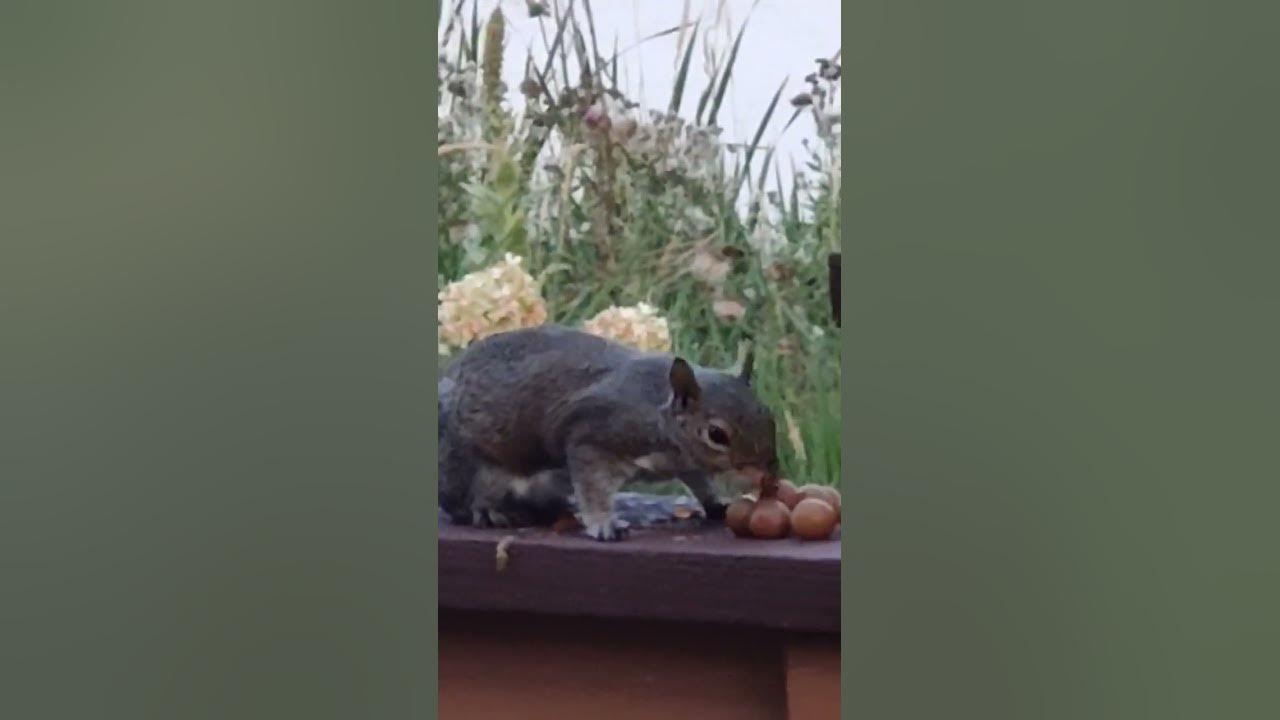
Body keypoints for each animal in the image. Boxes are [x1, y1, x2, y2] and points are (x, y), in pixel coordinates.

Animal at [438, 324, 779, 541]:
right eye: (716, 434)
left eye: (767, 413)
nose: (770, 475)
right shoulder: (592, 436)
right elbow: (593, 486)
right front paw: (604, 524)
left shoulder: (686, 462)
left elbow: (699, 480)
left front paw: (716, 503)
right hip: (466, 465)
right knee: (461, 502)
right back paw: (488, 512)